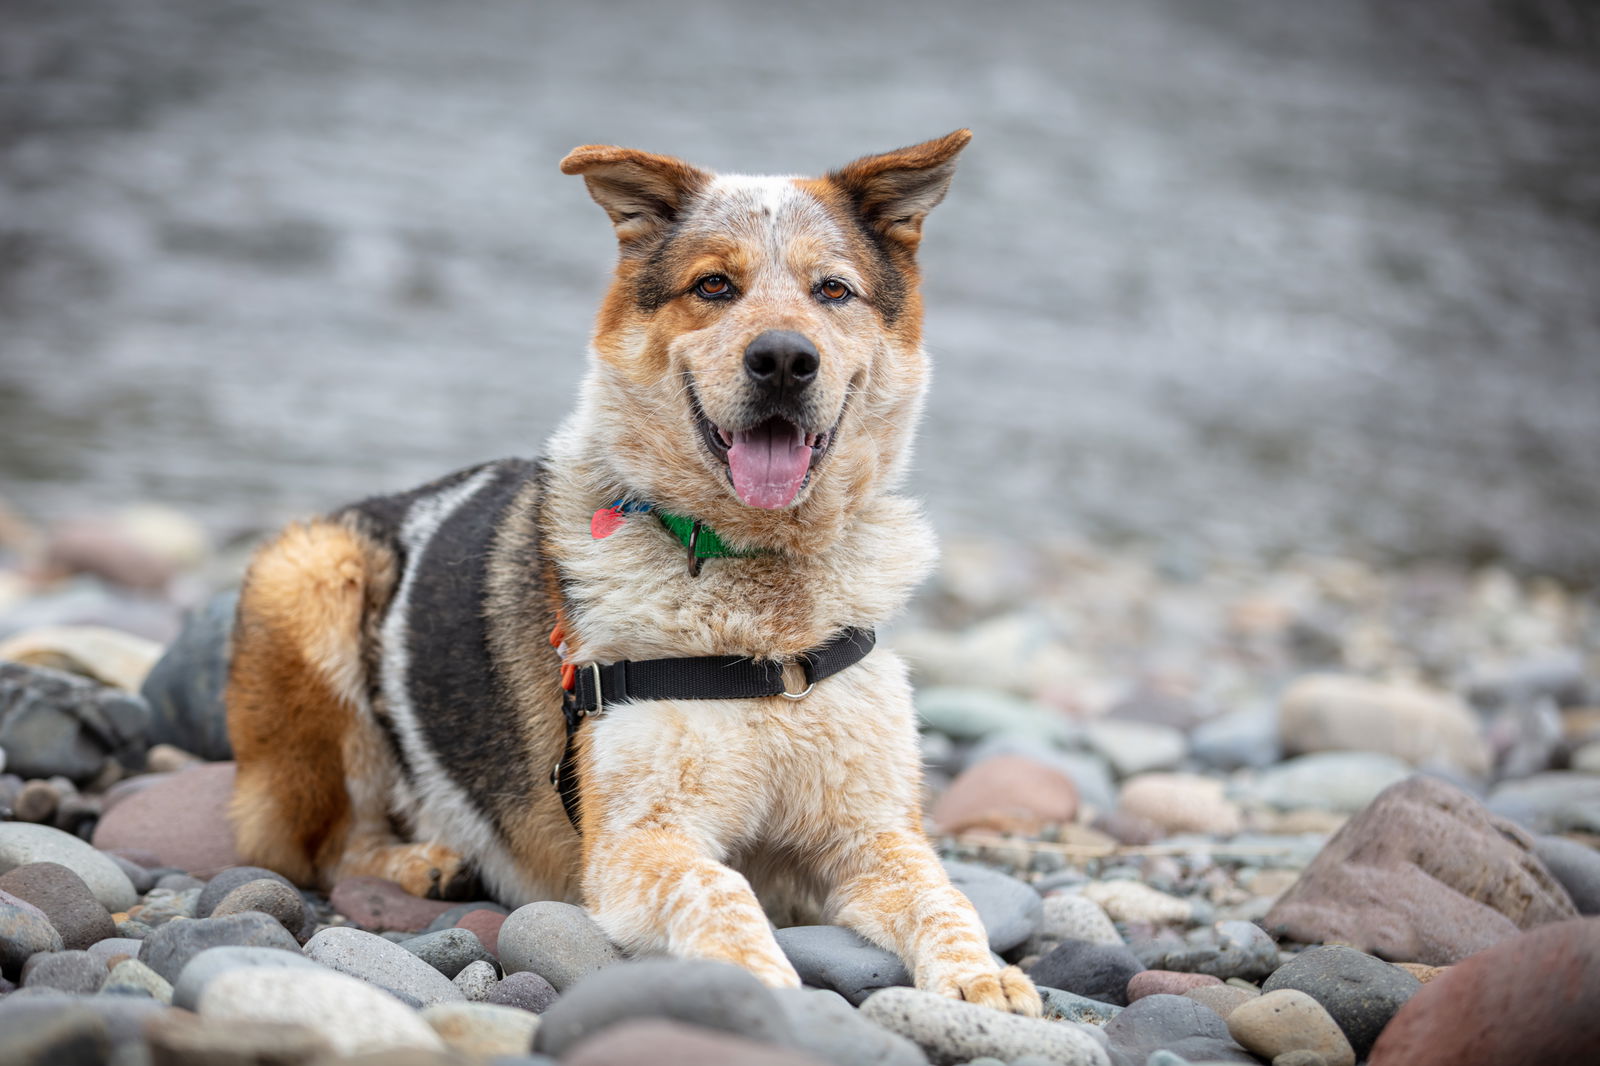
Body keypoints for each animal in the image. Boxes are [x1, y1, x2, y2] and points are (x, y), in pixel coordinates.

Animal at [228, 128, 1036, 1011]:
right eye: (714, 285)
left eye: (833, 291)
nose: (784, 359)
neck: (762, 605)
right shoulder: (635, 843)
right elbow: (720, 888)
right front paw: (763, 987)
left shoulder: (869, 833)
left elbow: (944, 895)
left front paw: (982, 978)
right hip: (313, 579)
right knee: (317, 847)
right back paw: (420, 861)